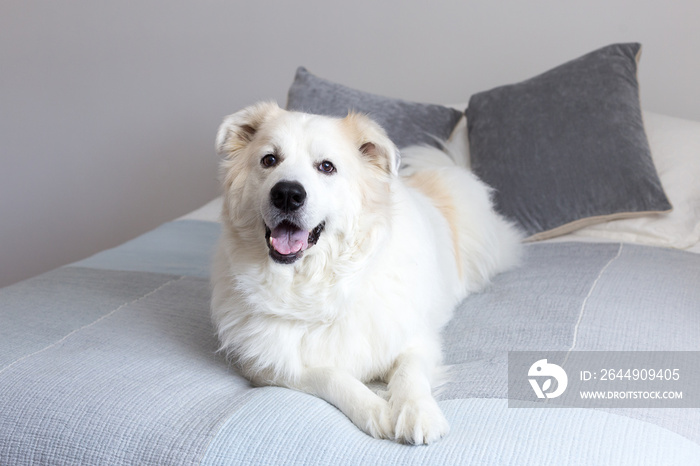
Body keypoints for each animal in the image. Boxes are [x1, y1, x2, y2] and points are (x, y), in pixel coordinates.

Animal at [211, 102, 524, 444]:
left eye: (326, 167)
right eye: (269, 160)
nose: (287, 194)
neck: (316, 285)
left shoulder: (416, 339)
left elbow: (409, 372)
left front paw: (417, 412)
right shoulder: (269, 366)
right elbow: (331, 376)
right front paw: (376, 411)